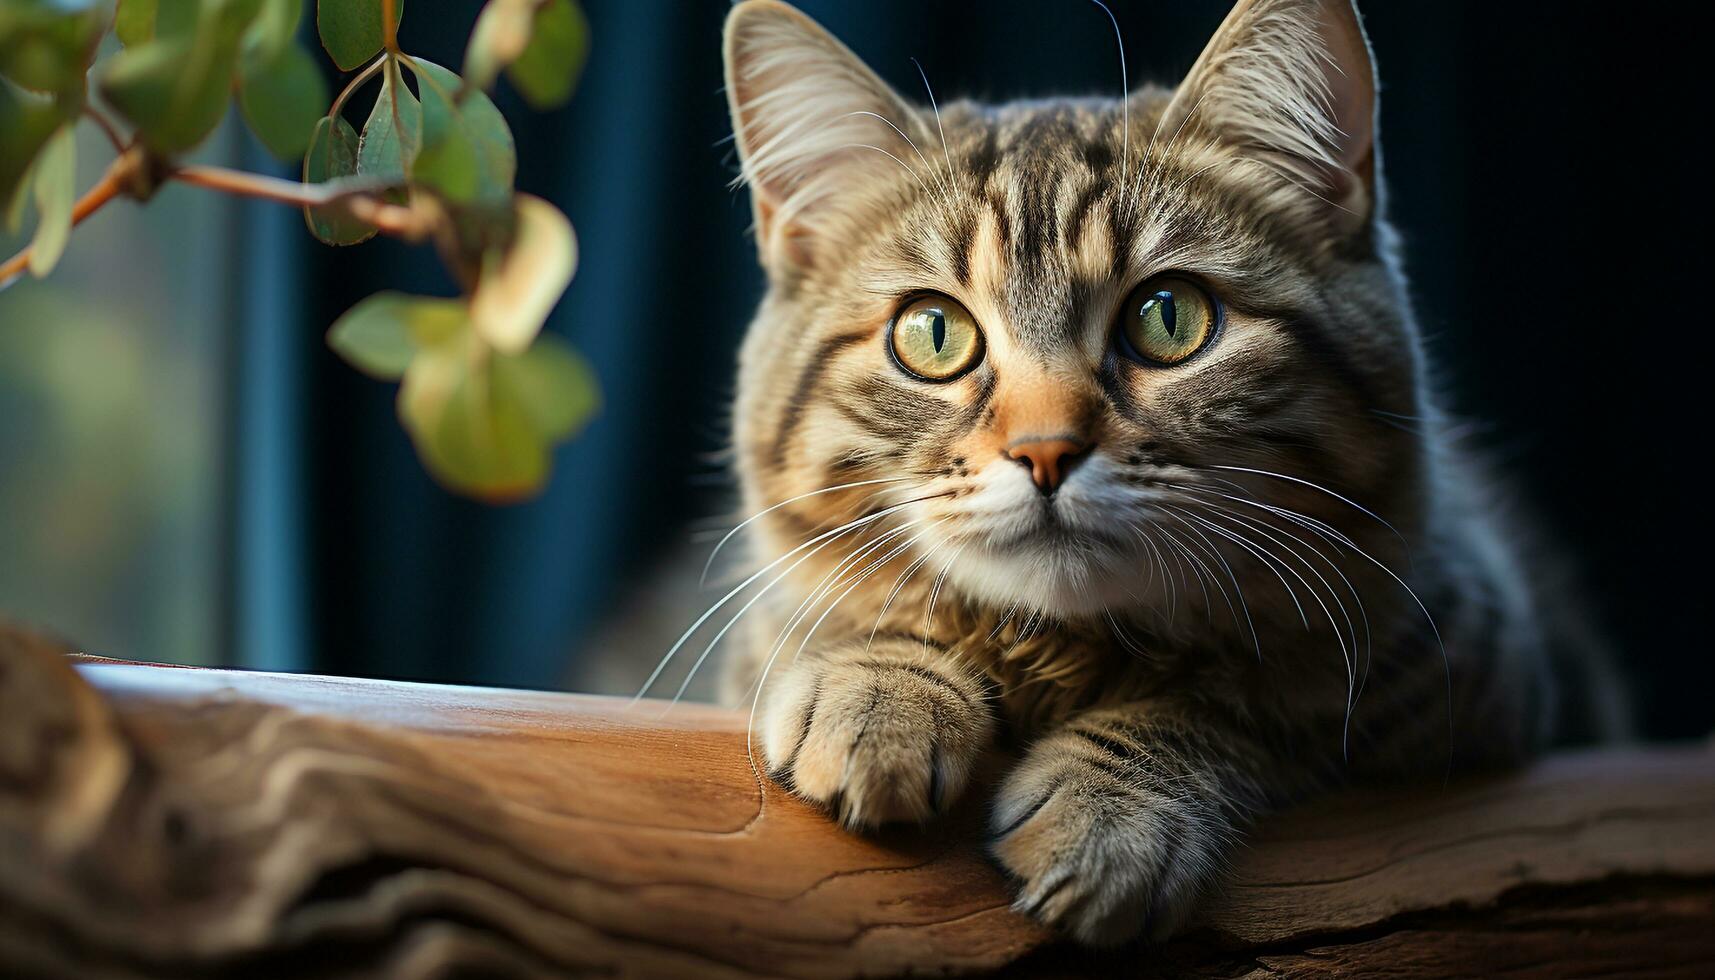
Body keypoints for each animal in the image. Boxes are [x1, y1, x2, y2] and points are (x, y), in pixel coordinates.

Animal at [703, 0, 1625, 954]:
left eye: (1168, 317)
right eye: (932, 333)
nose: (1044, 451)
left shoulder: (1461, 665)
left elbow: (1244, 694)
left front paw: (1114, 803)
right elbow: (843, 610)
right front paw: (877, 684)